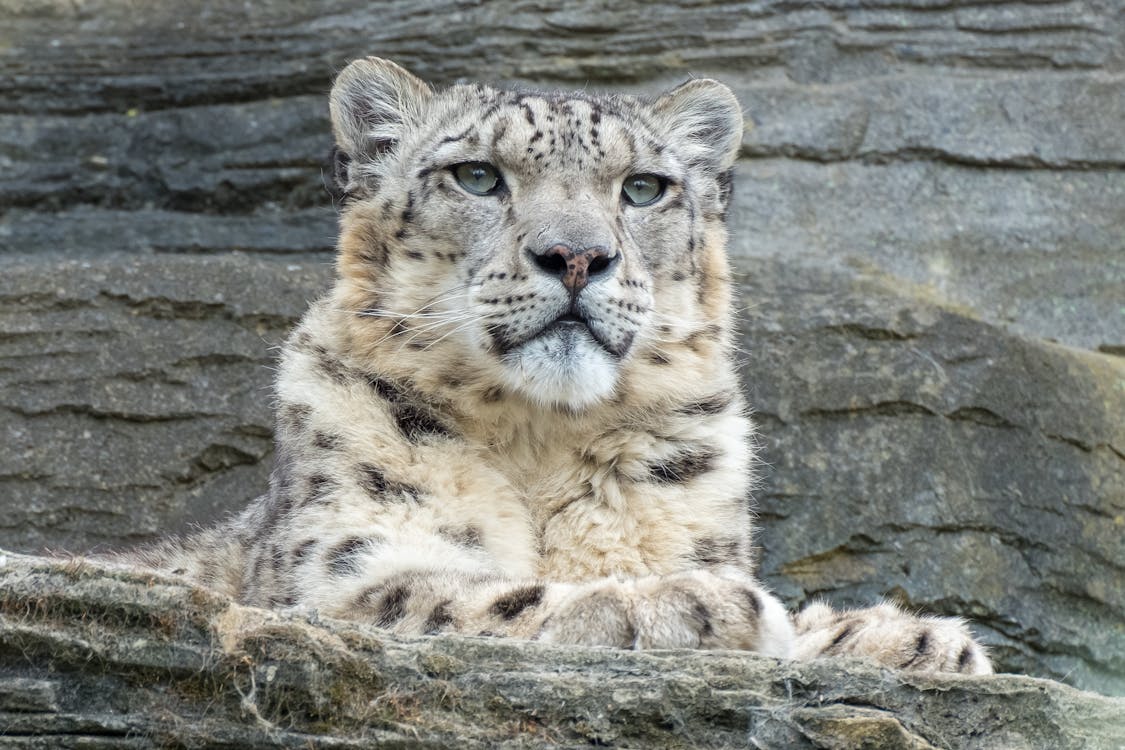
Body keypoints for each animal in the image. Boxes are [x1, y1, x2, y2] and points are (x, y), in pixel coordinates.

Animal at [123, 54, 994, 674]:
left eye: (643, 188)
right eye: (477, 175)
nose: (576, 256)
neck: (539, 439)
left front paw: (910, 640)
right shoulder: (338, 572)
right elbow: (467, 598)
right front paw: (698, 606)